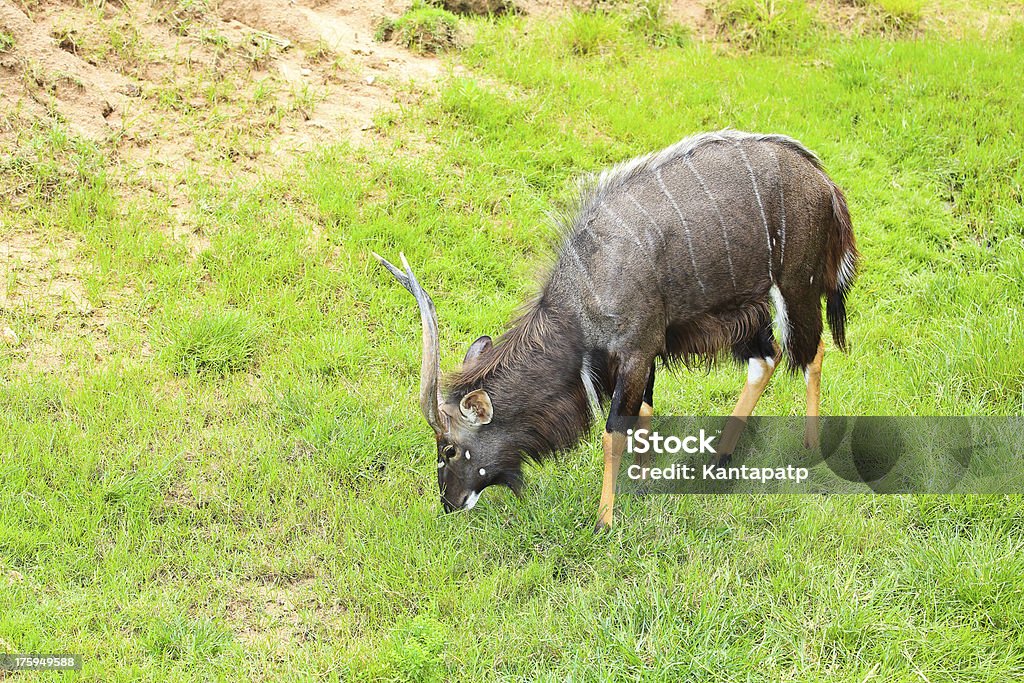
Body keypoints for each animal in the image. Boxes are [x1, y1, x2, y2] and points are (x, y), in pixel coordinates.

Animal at [376, 131, 856, 532]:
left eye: (449, 449)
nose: (449, 503)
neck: (585, 286)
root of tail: (826, 185)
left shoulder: (637, 350)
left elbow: (614, 431)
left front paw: (605, 520)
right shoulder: (641, 357)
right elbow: (643, 414)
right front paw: (643, 484)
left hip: (796, 289)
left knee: (812, 352)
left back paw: (811, 449)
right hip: (748, 310)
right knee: (767, 358)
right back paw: (719, 459)